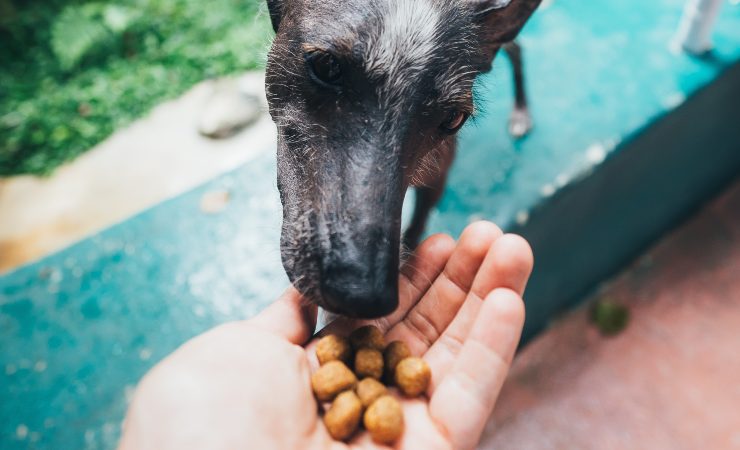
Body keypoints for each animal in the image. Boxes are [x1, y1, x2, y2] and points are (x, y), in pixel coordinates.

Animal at [264, 0, 536, 318]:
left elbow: (416, 229)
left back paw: (521, 111)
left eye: (453, 119)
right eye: (326, 65)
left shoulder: (437, 178)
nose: (362, 296)